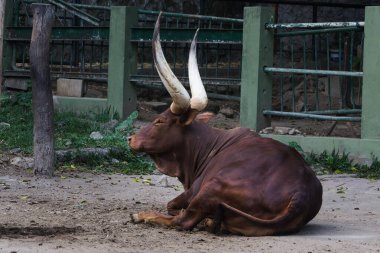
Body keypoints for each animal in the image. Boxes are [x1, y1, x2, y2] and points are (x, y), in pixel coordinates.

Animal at [129, 13, 322, 235]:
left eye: (159, 120)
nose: (130, 138)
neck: (205, 146)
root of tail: (301, 195)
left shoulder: (193, 190)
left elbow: (172, 206)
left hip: (211, 186)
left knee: (183, 221)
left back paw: (142, 216)